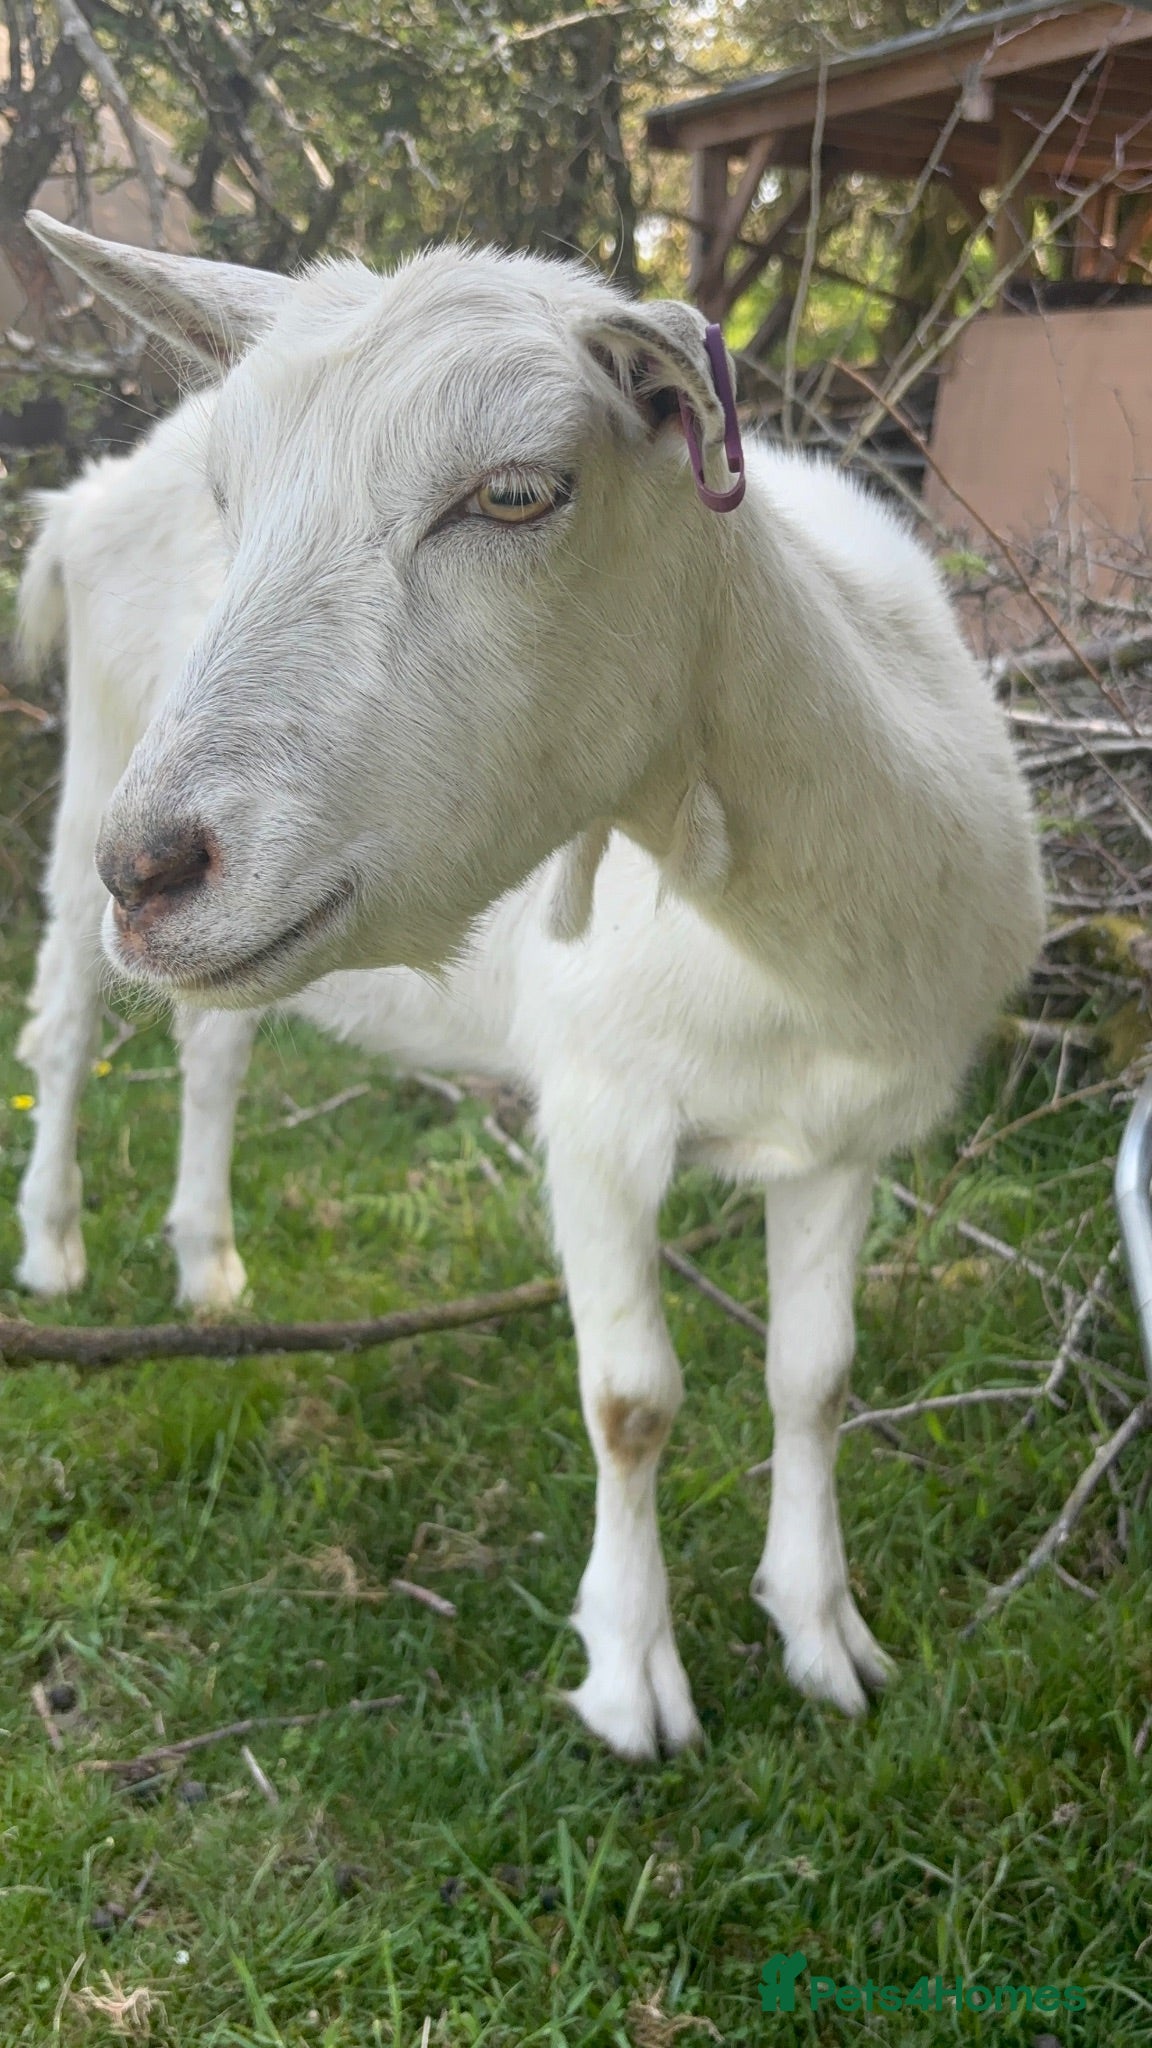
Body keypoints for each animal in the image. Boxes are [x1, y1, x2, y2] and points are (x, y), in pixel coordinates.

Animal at [15, 212, 1045, 1758]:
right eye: (228, 497)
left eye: (514, 493)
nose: (156, 870)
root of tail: (81, 498)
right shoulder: (601, 1109)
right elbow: (632, 1401)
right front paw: (634, 1684)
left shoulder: (843, 1133)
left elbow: (817, 1377)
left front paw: (825, 1639)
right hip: (92, 772)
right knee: (66, 1024)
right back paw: (56, 1246)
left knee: (213, 1045)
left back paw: (209, 1267)